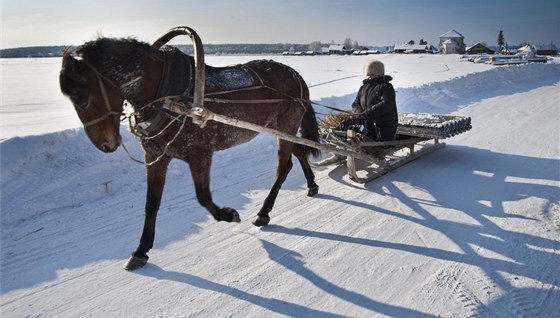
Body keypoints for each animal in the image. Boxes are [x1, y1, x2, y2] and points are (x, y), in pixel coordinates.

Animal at [59, 28, 322, 270]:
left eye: (84, 100)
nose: (106, 144)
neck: (167, 96)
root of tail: (296, 75)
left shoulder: (199, 154)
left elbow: (203, 196)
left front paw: (228, 214)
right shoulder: (156, 156)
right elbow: (151, 203)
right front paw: (141, 250)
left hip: (285, 125)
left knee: (283, 167)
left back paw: (264, 212)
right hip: (279, 128)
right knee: (298, 151)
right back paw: (311, 184)